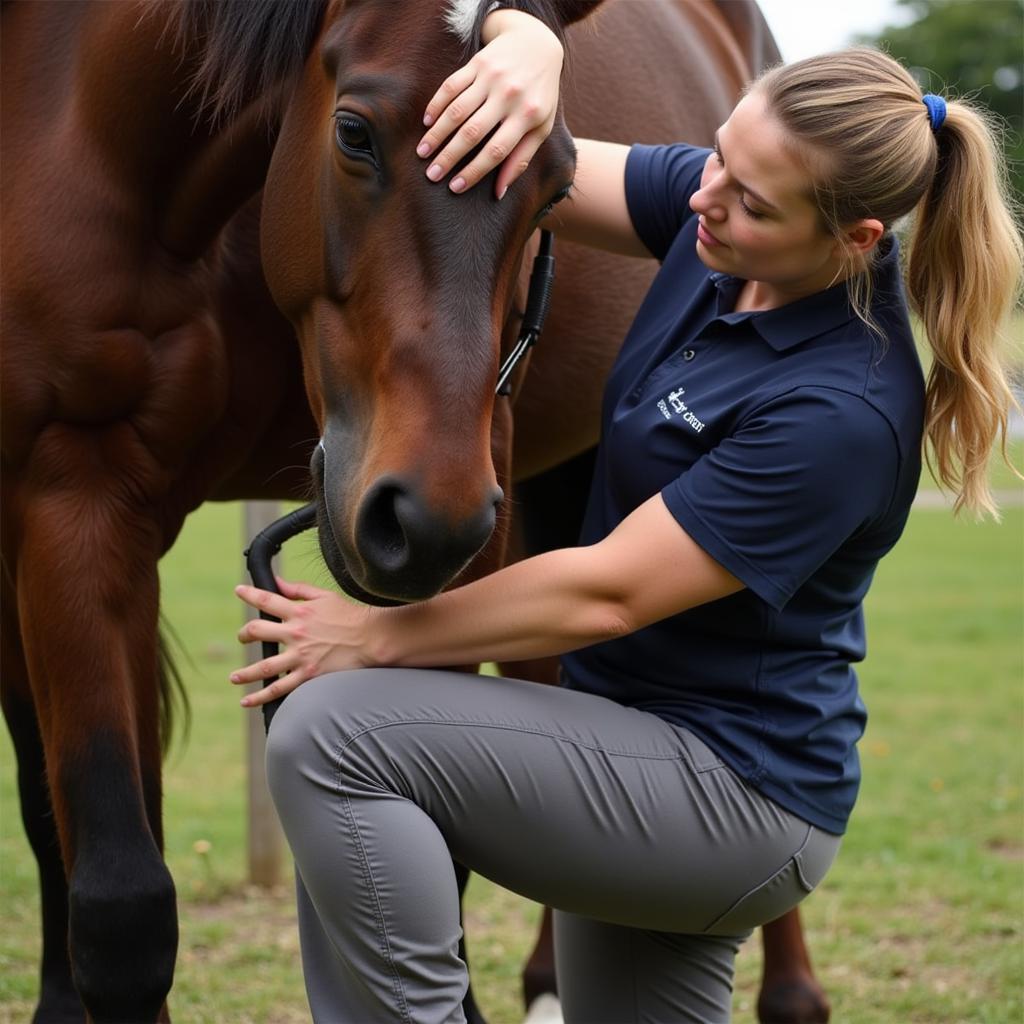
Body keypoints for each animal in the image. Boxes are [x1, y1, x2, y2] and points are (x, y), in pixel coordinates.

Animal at [0, 0, 827, 1019]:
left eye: (555, 188)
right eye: (355, 132)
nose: (419, 520)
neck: (72, 113)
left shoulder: (483, 480)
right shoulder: (58, 494)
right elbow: (92, 868)